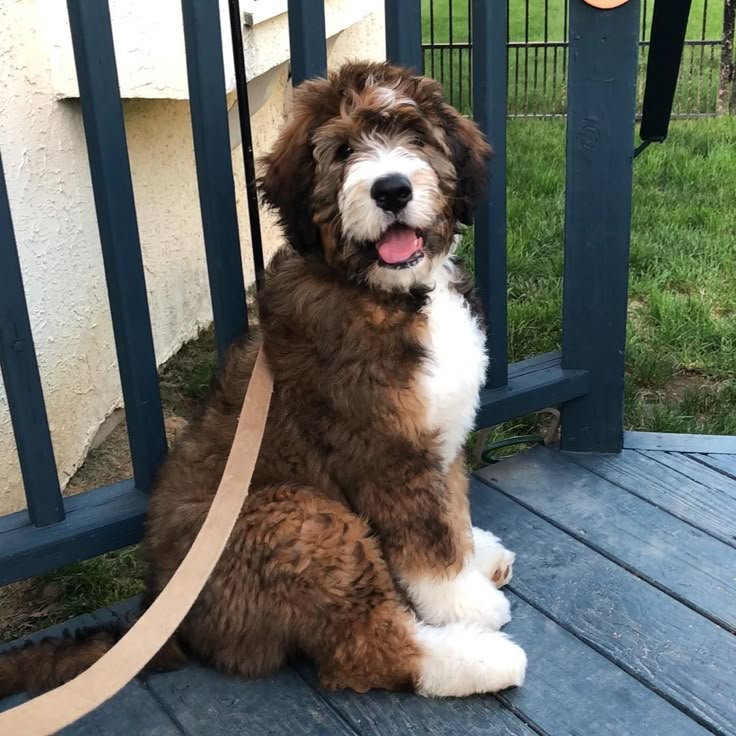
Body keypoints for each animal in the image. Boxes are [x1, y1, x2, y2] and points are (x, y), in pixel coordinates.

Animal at [1, 61, 528, 696]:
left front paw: (475, 554)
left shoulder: (436, 436)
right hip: (295, 518)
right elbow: (430, 539)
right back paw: (484, 658)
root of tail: (167, 614)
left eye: (416, 136)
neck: (391, 294)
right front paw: (465, 602)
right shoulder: (386, 452)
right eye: (344, 150)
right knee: (365, 649)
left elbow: (453, 507)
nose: (392, 189)